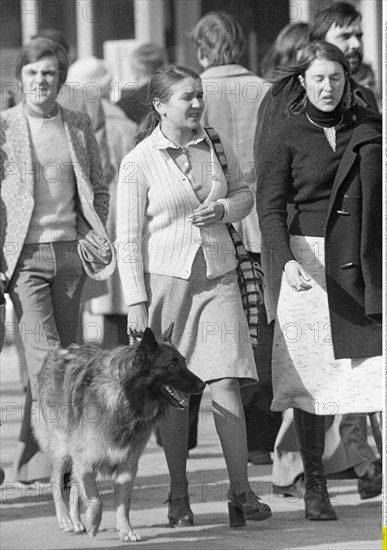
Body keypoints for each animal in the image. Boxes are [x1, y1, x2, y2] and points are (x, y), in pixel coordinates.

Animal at [32, 326, 206, 544]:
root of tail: (57, 353)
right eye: (172, 365)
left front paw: (125, 530)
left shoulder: (127, 465)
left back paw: (76, 520)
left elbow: (123, 504)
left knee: (73, 485)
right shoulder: (85, 460)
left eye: (183, 361)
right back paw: (65, 519)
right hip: (62, 450)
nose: (203, 385)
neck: (125, 399)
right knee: (56, 481)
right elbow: (95, 498)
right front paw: (93, 522)